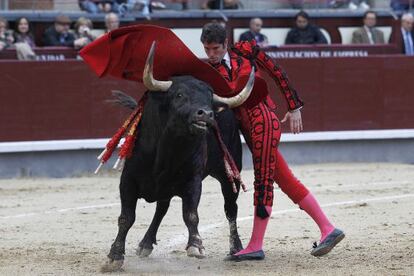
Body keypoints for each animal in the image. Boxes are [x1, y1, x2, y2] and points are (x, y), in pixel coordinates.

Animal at [103, 75, 244, 270]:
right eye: (179, 95)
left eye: (210, 98)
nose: (207, 114)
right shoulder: (127, 181)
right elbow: (126, 218)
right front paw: (114, 257)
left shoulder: (193, 180)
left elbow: (191, 214)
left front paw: (196, 245)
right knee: (162, 208)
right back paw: (146, 243)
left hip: (229, 174)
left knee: (231, 209)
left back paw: (236, 249)